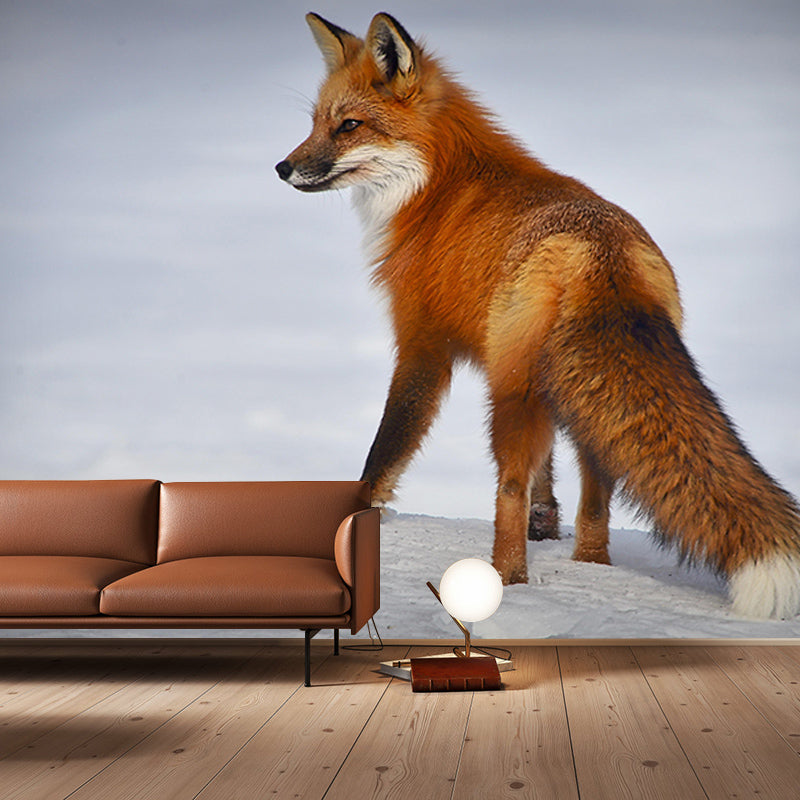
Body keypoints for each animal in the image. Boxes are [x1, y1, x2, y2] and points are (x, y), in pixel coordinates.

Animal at [276, 11, 800, 619]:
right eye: (316, 123)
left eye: (349, 126)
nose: (283, 167)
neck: (435, 188)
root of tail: (602, 252)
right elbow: (549, 476)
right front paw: (546, 526)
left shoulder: (423, 343)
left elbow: (386, 448)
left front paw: (357, 513)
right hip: (569, 393)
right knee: (596, 493)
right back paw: (589, 564)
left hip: (510, 391)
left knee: (508, 487)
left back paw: (506, 580)